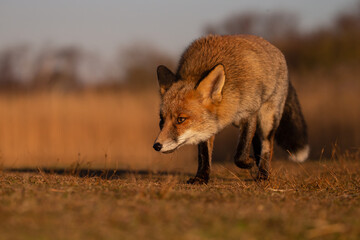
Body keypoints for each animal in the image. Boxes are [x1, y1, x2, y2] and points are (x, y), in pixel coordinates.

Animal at [153, 34, 310, 184]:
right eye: (161, 120)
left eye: (181, 119)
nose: (157, 146)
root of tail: (274, 48)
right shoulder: (207, 127)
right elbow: (204, 155)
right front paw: (201, 178)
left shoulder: (249, 112)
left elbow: (240, 153)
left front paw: (248, 162)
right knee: (257, 141)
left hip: (267, 119)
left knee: (266, 145)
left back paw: (263, 174)